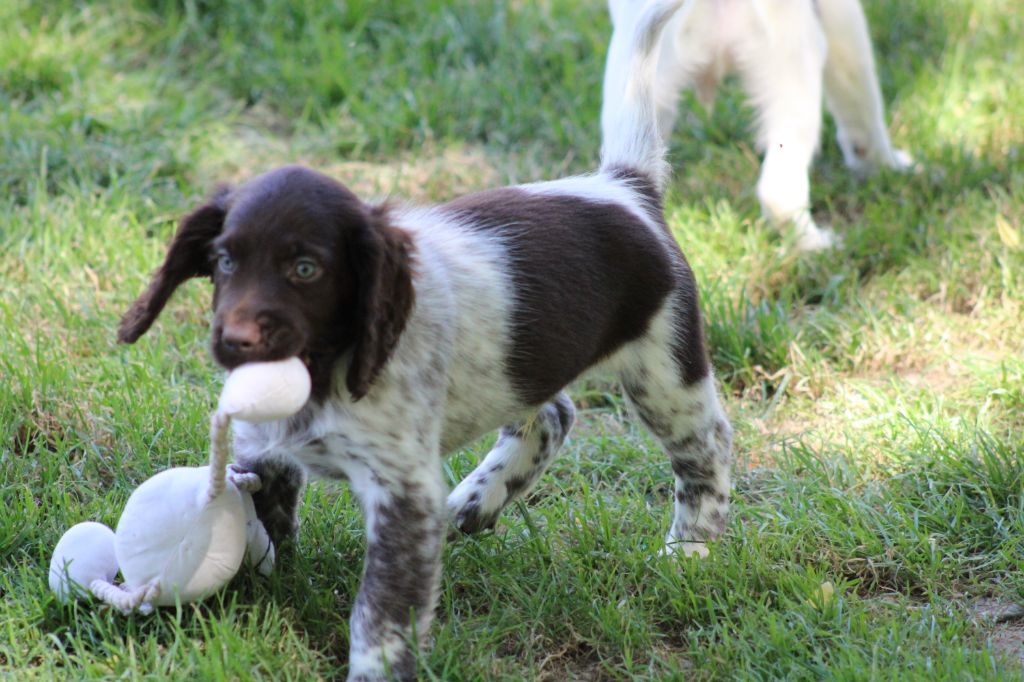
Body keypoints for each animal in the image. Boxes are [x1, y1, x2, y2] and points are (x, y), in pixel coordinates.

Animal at [119, 2, 729, 675]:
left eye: (306, 269)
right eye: (224, 262)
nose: (234, 342)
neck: (325, 371)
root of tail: (626, 187)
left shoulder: (402, 492)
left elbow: (380, 612)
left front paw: (373, 669)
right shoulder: (264, 447)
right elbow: (268, 521)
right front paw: (263, 590)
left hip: (664, 368)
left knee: (705, 449)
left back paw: (691, 551)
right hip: (524, 362)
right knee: (554, 413)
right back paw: (478, 501)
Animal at [598, 0, 913, 249]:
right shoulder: (841, 16)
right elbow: (860, 95)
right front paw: (884, 167)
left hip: (638, 80)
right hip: (792, 67)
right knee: (779, 194)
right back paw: (817, 246)